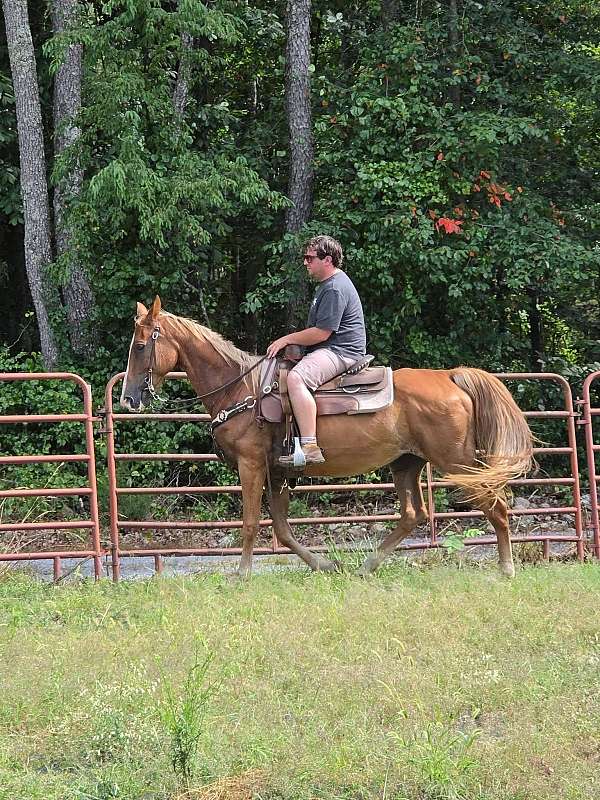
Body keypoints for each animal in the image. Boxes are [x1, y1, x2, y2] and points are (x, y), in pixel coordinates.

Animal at [120, 296, 533, 578]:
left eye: (140, 346)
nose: (128, 398)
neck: (241, 390)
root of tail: (450, 375)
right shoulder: (278, 473)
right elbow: (282, 529)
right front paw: (323, 563)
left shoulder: (251, 465)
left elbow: (251, 522)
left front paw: (242, 574)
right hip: (407, 463)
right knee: (413, 514)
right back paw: (368, 564)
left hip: (457, 463)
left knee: (497, 506)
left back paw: (506, 569)